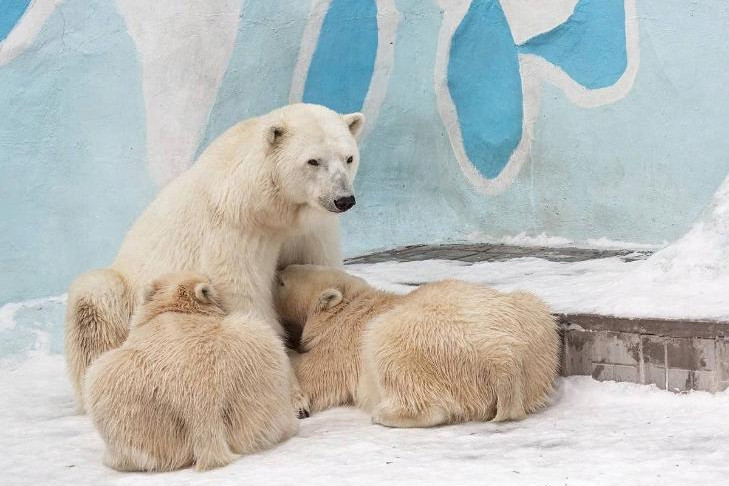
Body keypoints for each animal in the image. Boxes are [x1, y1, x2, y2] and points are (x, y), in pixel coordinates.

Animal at [66, 104, 364, 412]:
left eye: (349, 157)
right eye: (313, 161)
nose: (343, 199)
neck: (270, 209)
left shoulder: (313, 231)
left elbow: (320, 273)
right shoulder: (236, 230)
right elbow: (245, 297)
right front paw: (294, 398)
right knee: (95, 297)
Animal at [274, 264, 556, 428]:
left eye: (282, 280)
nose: (278, 270)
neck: (352, 304)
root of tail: (504, 360)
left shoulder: (341, 341)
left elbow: (315, 373)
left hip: (424, 342)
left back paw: (384, 414)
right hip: (536, 334)